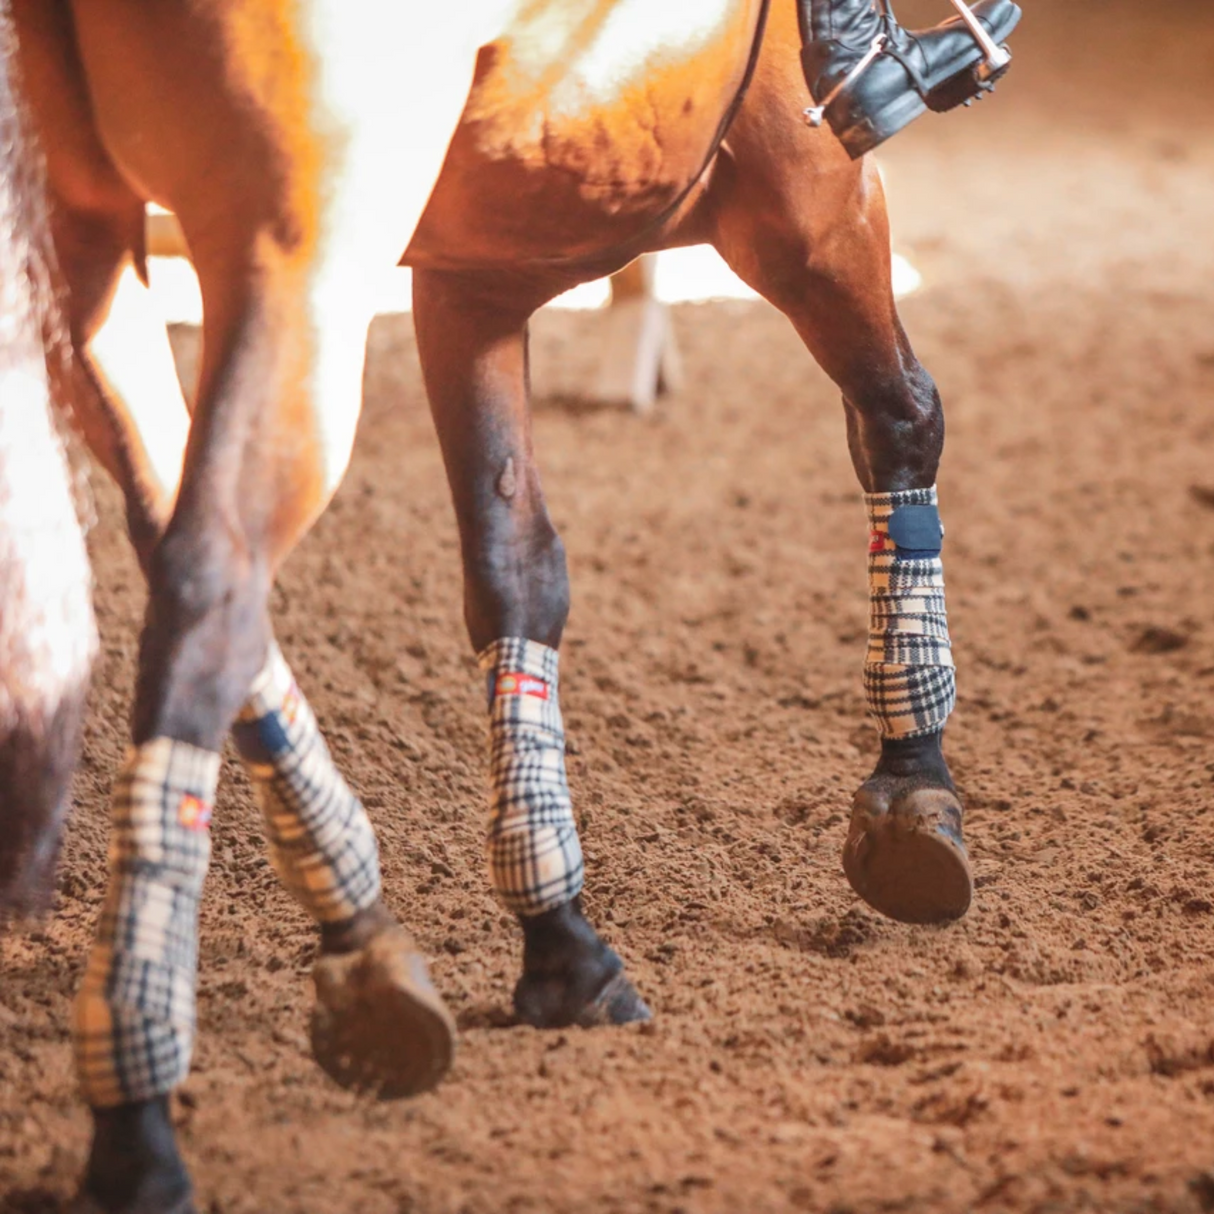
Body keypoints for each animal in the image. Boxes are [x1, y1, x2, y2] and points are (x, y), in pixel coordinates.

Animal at [10, 0, 987, 1208]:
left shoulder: (468, 274)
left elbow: (515, 571)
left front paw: (557, 932)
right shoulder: (803, 186)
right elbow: (899, 418)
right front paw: (913, 788)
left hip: (91, 241)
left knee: (170, 543)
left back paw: (362, 942)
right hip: (299, 251)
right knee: (207, 587)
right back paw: (138, 1109)